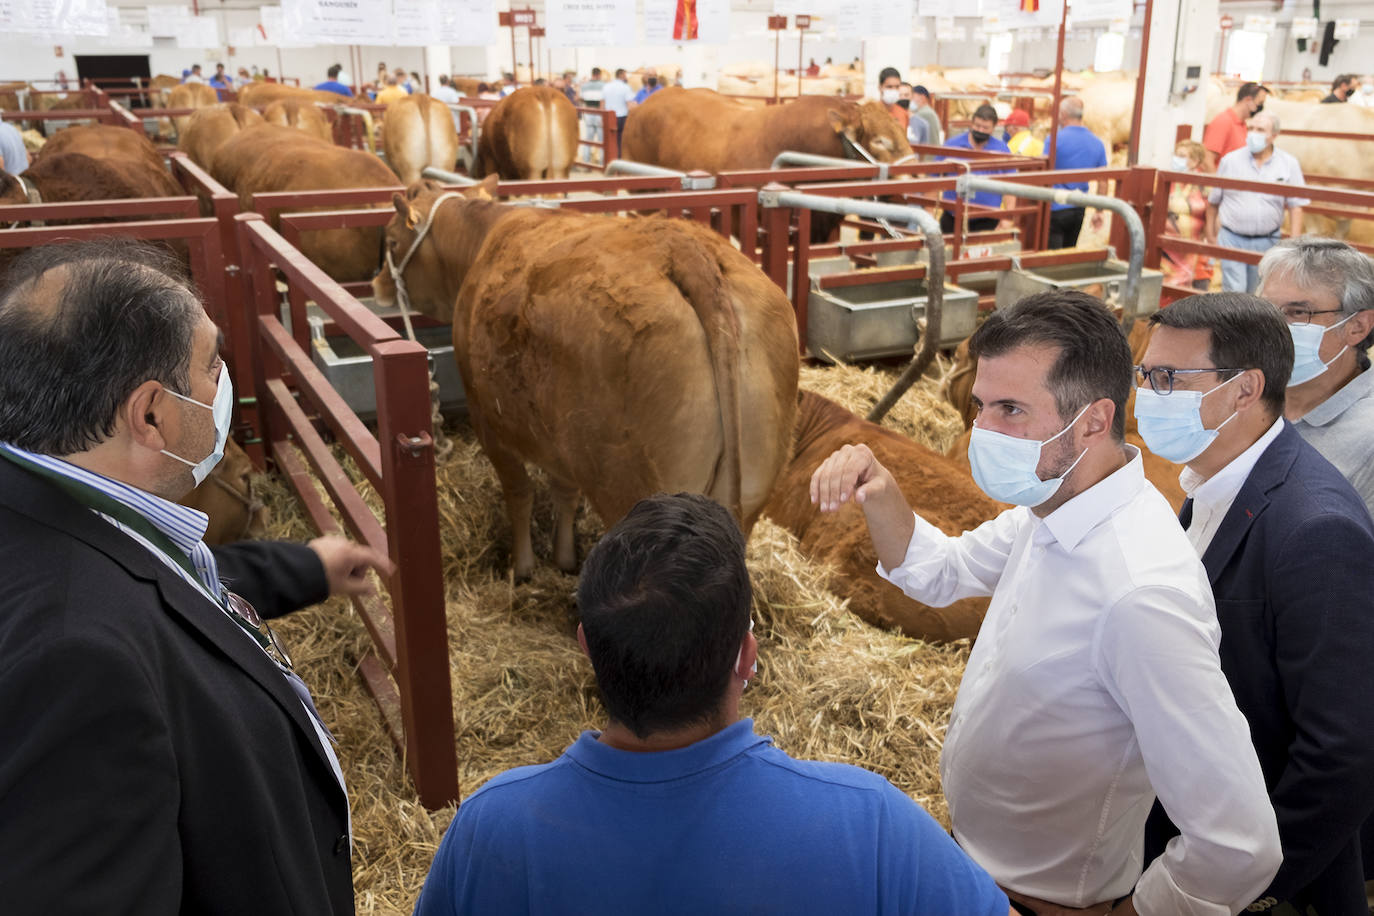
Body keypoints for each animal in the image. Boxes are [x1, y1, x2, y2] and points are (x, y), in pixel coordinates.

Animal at [376, 178, 802, 576]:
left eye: (392, 241)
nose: (378, 284)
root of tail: (684, 249)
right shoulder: (558, 440)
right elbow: (564, 491)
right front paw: (564, 558)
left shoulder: (489, 421)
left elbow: (519, 492)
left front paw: (523, 567)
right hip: (749, 495)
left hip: (628, 487)